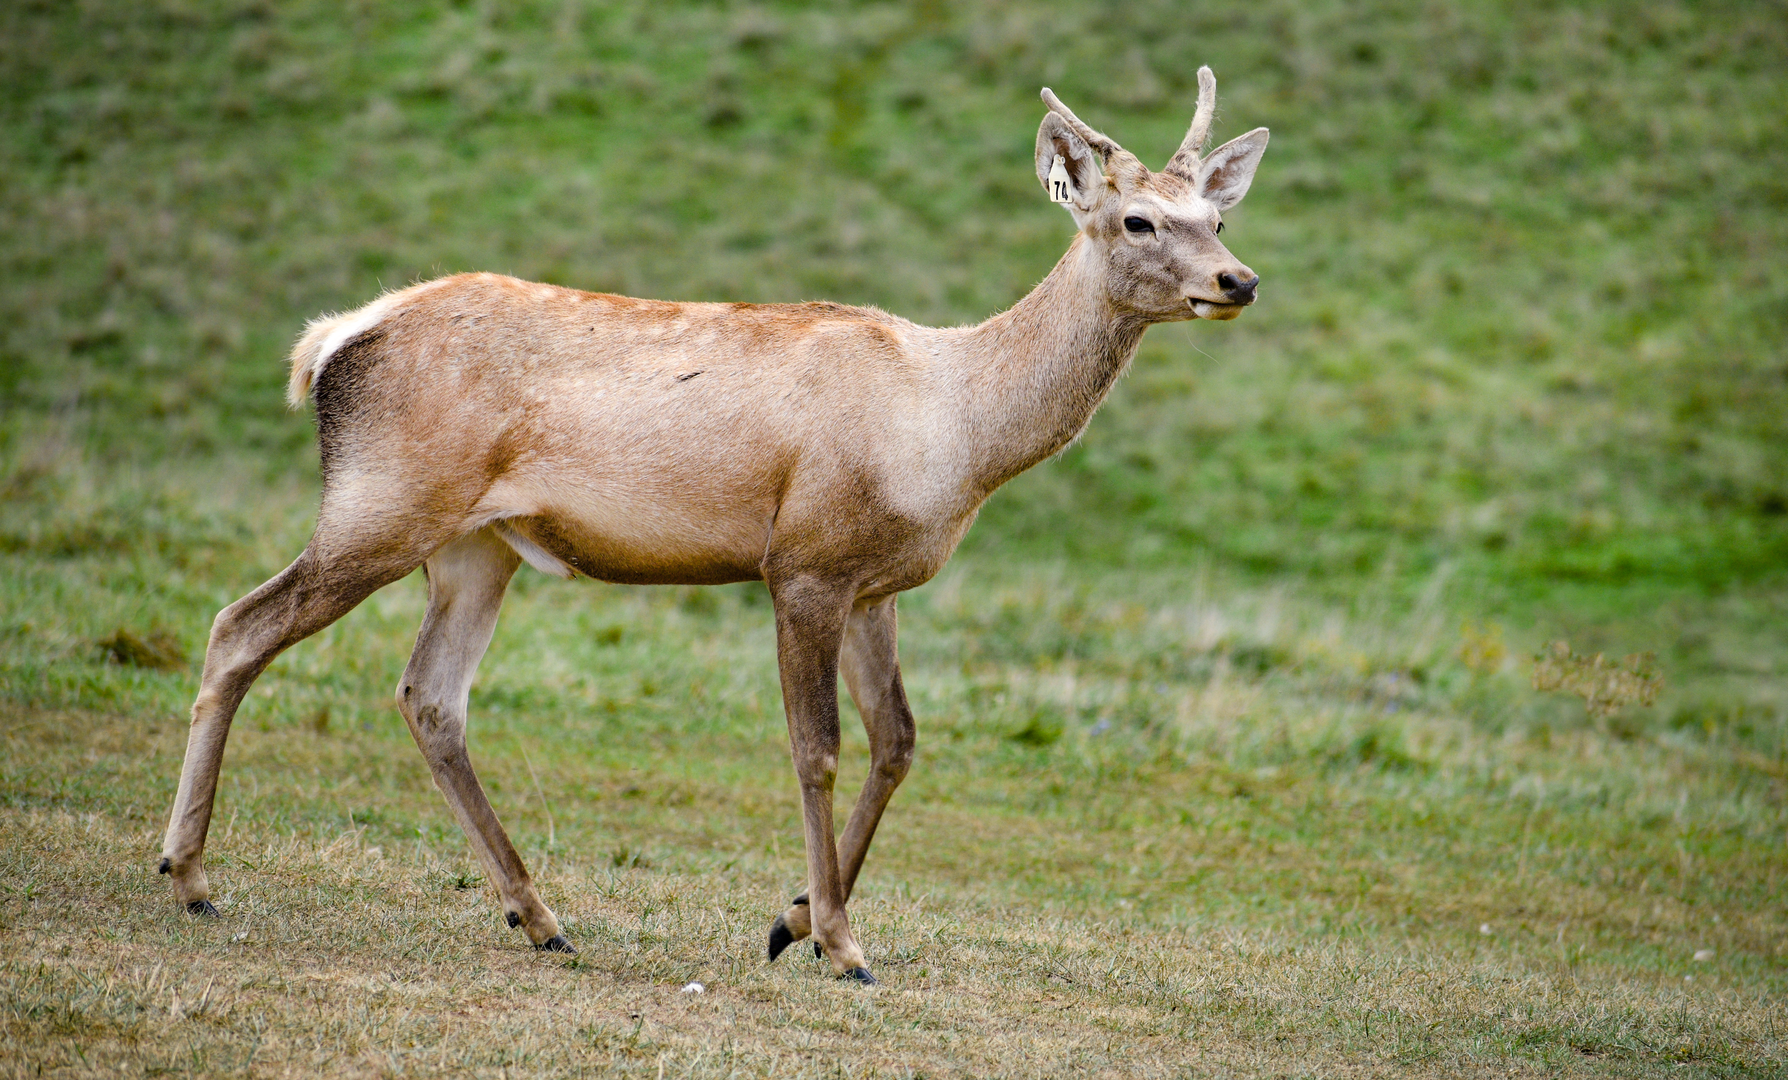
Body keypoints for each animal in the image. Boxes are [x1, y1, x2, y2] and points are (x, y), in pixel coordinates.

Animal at [157, 69, 1268, 985]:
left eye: (1216, 212)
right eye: (1137, 219)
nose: (1239, 279)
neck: (949, 431)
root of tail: (328, 342)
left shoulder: (875, 583)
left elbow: (899, 741)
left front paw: (793, 921)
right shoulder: (804, 560)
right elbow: (817, 748)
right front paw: (840, 943)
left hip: (473, 547)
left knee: (430, 696)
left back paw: (540, 916)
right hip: (382, 501)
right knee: (240, 625)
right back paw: (190, 876)